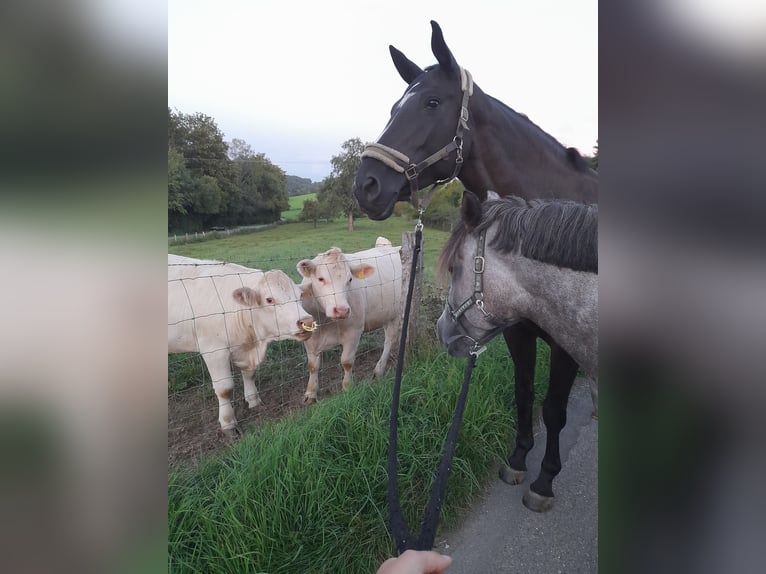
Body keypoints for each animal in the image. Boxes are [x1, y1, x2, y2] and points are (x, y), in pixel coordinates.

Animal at [167, 254, 312, 438]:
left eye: (299, 295)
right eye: (269, 299)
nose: (307, 321)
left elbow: (249, 374)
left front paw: (254, 401)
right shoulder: (214, 351)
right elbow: (225, 389)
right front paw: (228, 423)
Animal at [296, 238, 404, 404]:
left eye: (350, 279)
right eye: (320, 279)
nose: (341, 310)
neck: (326, 320)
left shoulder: (354, 331)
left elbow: (346, 362)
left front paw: (347, 388)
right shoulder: (311, 337)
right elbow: (312, 366)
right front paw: (310, 393)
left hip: (398, 313)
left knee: (390, 340)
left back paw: (379, 370)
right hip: (386, 314)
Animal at [354, 20, 600, 512]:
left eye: (432, 102)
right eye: (393, 107)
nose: (365, 185)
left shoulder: (566, 341)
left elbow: (554, 409)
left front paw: (544, 480)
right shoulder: (517, 329)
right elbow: (524, 394)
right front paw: (519, 459)